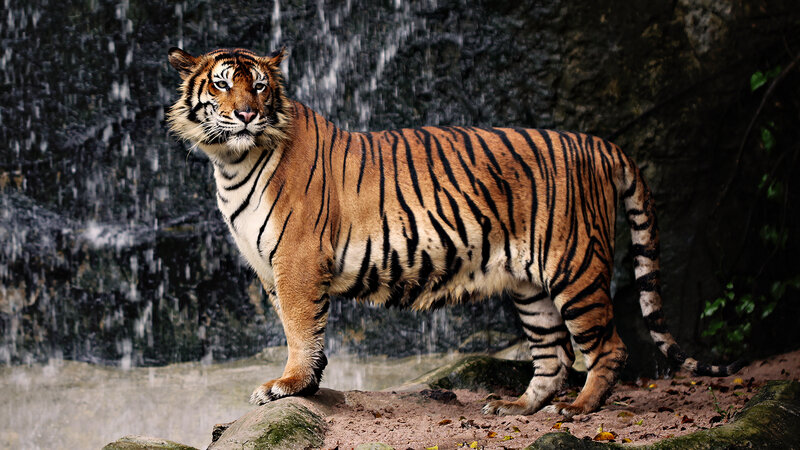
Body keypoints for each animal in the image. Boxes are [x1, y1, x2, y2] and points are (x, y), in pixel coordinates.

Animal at [166, 47, 742, 417]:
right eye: (222, 83)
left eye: (260, 86)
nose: (247, 114)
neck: (231, 161)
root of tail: (598, 143)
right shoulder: (271, 269)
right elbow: (301, 329)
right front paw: (307, 384)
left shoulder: (298, 260)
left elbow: (300, 330)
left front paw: (288, 386)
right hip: (530, 287)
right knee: (552, 355)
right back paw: (517, 406)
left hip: (574, 266)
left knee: (608, 348)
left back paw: (579, 409)